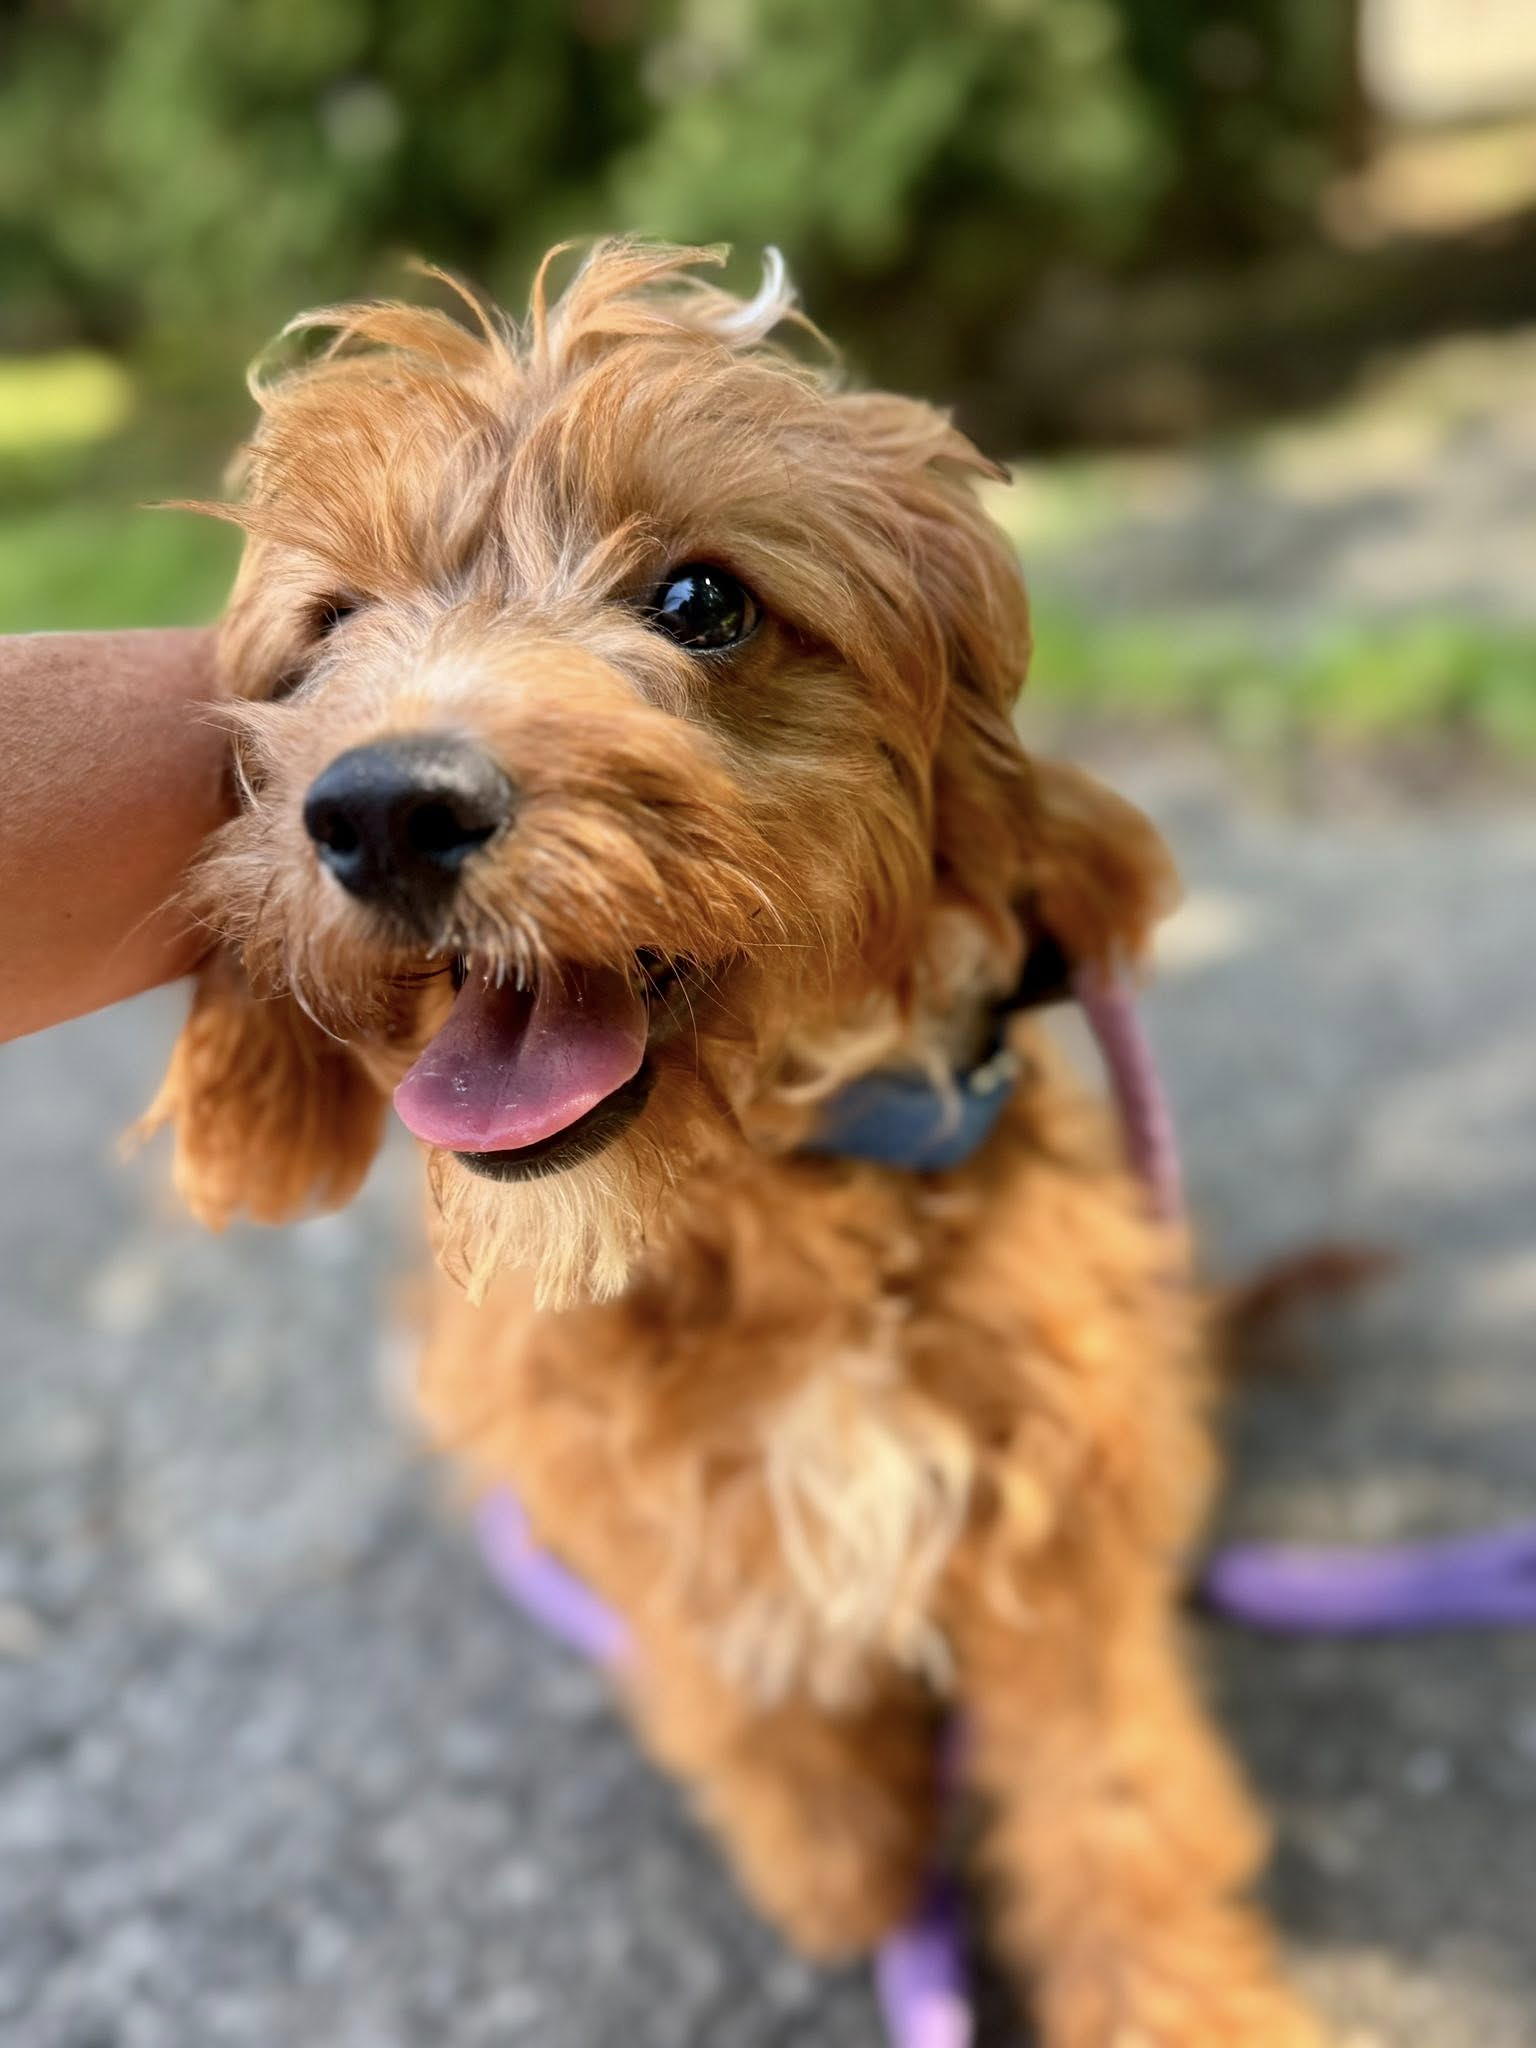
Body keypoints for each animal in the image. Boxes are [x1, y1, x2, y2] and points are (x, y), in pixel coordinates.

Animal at [145, 241, 1324, 2046]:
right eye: (329, 627)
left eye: (703, 601)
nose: (385, 810)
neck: (773, 1208)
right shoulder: (653, 1524)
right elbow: (759, 1716)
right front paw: (855, 1867)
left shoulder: (1062, 1527)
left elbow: (1114, 1805)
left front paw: (1181, 2004)